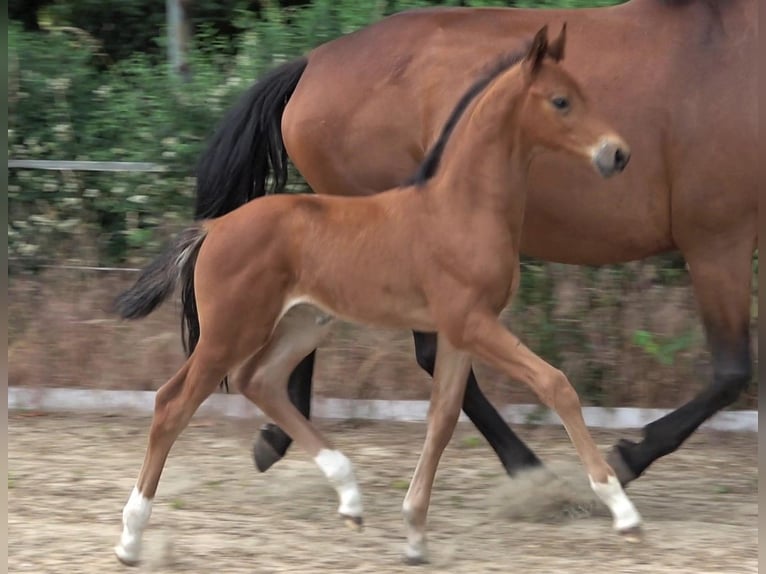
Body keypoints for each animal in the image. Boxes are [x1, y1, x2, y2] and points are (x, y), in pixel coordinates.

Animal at [114, 25, 640, 568]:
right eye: (560, 101)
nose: (617, 153)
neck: (461, 208)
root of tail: (214, 228)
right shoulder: (472, 322)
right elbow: (556, 384)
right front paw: (623, 511)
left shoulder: (459, 333)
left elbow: (442, 418)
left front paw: (414, 536)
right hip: (231, 331)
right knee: (172, 403)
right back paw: (130, 539)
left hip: (304, 322)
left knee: (258, 381)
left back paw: (350, 496)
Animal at [195, 0, 760, 488]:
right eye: (561, 101)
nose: (617, 155)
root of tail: (313, 62)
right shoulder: (718, 238)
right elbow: (732, 372)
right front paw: (627, 456)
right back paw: (527, 467)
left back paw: (277, 435)